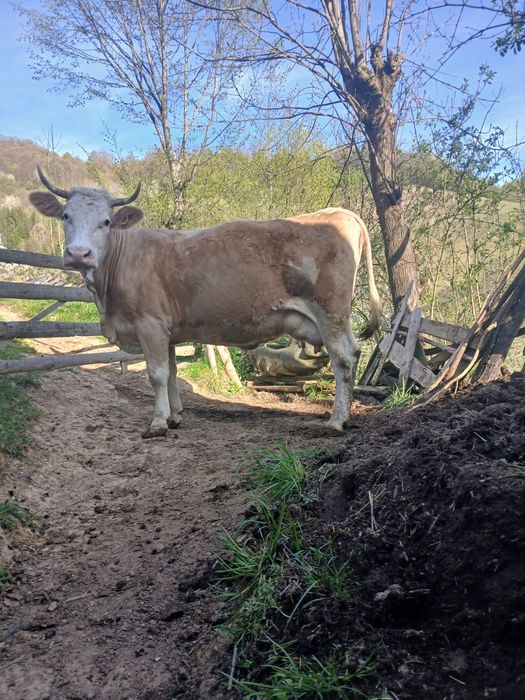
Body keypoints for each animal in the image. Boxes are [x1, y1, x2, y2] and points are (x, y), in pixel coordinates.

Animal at [29, 166, 381, 437]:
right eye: (65, 215)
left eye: (106, 221)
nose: (78, 254)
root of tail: (339, 213)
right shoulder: (168, 331)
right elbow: (172, 372)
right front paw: (175, 416)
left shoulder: (149, 324)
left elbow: (156, 374)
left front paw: (158, 423)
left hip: (330, 311)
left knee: (344, 357)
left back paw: (337, 421)